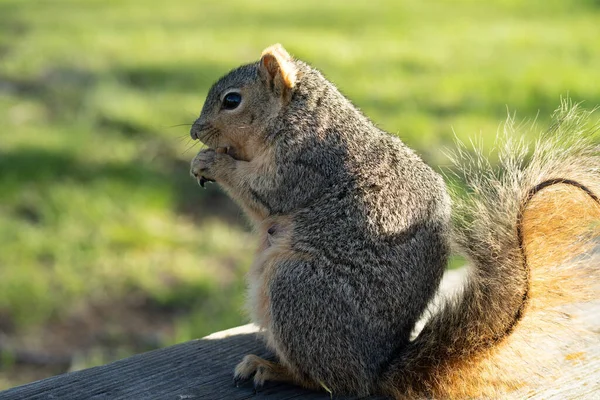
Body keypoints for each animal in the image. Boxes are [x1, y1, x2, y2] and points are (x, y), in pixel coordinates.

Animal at [189, 42, 600, 398]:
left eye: (232, 100)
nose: (194, 131)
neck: (296, 116)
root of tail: (375, 371)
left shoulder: (304, 163)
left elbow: (263, 192)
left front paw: (212, 162)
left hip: (298, 288)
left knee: (330, 382)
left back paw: (271, 368)